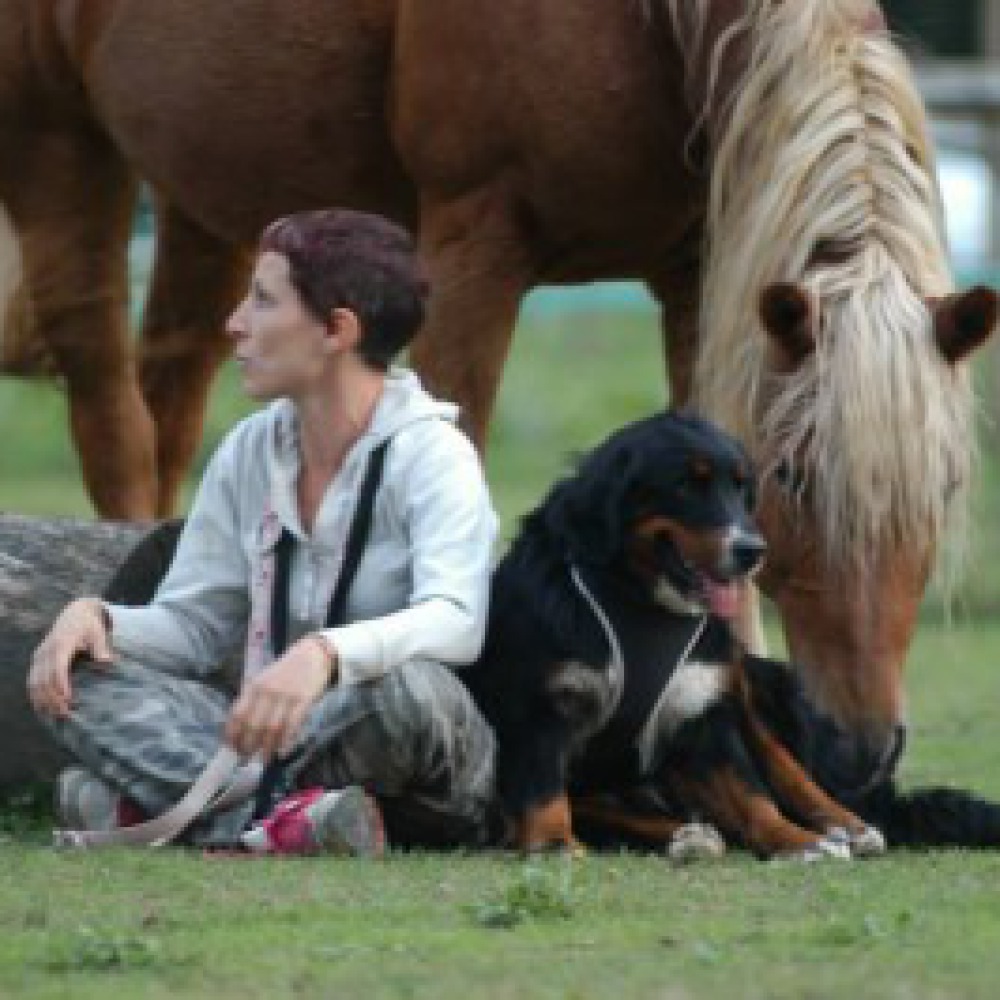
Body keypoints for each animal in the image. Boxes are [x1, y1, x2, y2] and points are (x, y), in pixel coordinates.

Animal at [0, 0, 992, 772]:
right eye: (794, 477)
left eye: (946, 486)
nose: (865, 749)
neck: (649, 26)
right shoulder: (475, 242)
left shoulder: (697, 270)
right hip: (58, 144)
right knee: (106, 396)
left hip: (209, 197)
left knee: (169, 387)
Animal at [464, 408, 888, 860]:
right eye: (686, 485)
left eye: (741, 487)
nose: (751, 550)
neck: (640, 602)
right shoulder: (542, 704)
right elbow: (544, 788)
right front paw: (555, 842)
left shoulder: (703, 709)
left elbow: (753, 794)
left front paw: (796, 840)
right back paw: (687, 835)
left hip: (747, 682)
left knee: (783, 763)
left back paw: (848, 826)